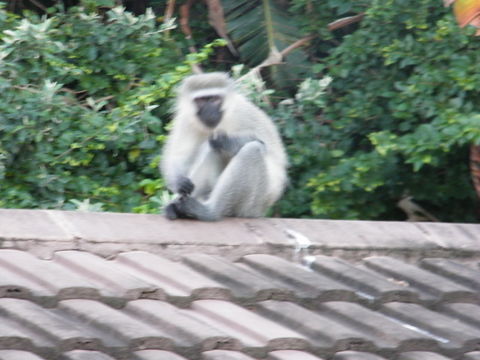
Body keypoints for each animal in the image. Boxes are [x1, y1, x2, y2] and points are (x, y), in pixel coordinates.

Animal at [161, 72, 288, 221]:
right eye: (201, 100)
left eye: (214, 99)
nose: (209, 111)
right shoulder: (185, 120)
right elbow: (178, 157)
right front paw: (178, 182)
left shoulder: (242, 112)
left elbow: (263, 144)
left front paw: (225, 141)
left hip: (254, 205)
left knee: (252, 150)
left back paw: (210, 211)